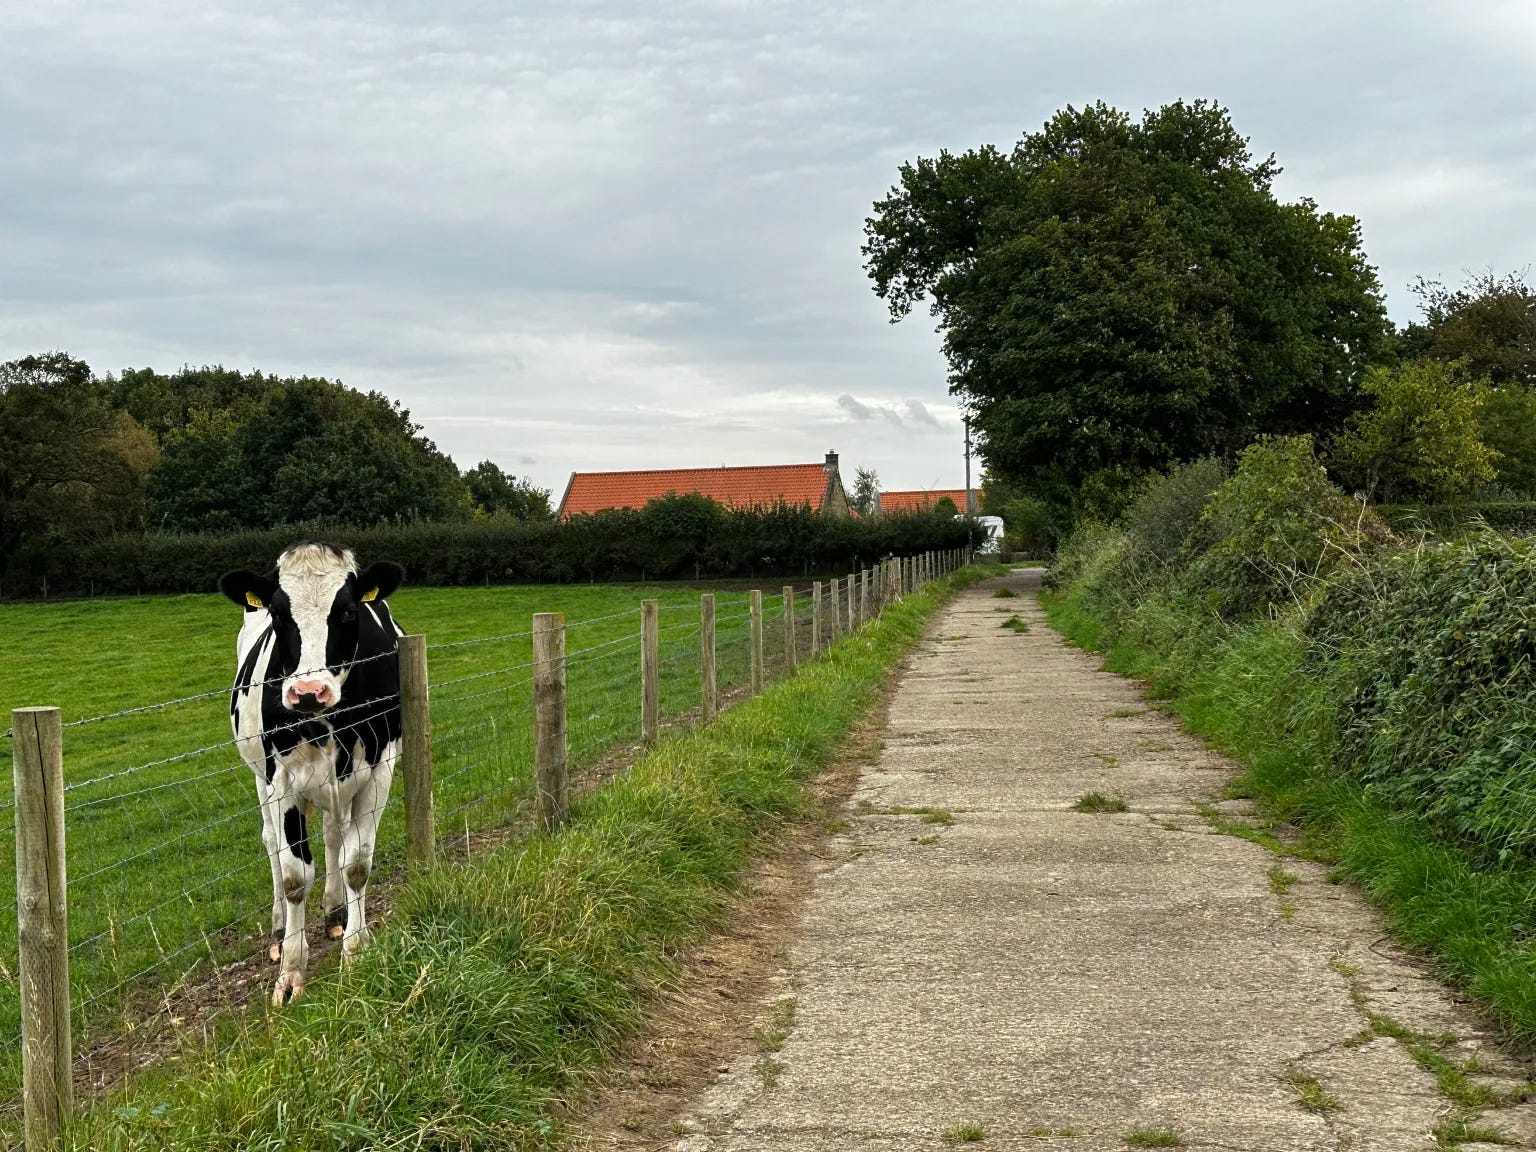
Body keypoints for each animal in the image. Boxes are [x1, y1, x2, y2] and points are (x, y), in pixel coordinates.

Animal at [221, 546, 408, 1007]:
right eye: (278, 613)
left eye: (346, 611)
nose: (308, 693)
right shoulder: (282, 777)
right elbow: (293, 876)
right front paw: (291, 971)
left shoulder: (380, 771)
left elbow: (356, 864)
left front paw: (355, 954)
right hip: (260, 776)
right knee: (271, 842)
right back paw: (277, 930)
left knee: (332, 836)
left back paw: (335, 911)